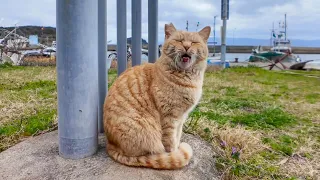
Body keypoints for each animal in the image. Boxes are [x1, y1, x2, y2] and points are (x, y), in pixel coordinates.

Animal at [104, 22, 211, 169]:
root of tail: (110, 145)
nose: (186, 46)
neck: (186, 79)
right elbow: (170, 142)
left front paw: (177, 148)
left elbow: (177, 137)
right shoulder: (169, 117)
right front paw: (173, 154)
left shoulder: (181, 118)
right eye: (179, 40)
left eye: (194, 42)